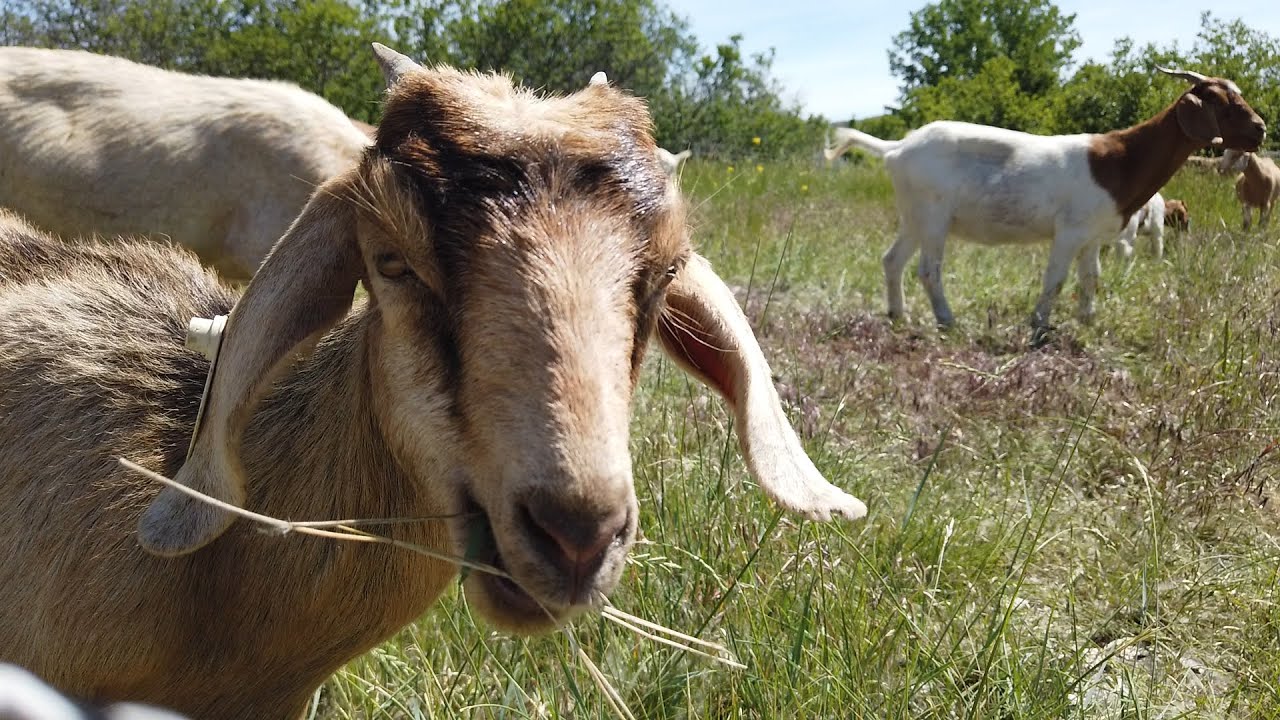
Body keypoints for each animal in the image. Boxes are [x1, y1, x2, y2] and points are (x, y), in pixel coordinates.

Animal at [824, 67, 1264, 331]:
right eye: (1226, 106)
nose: (1260, 129)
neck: (1121, 158)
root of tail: (897, 147)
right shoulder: (1069, 231)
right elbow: (1056, 279)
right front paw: (1038, 324)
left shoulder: (1093, 235)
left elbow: (1091, 277)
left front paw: (1088, 319)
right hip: (933, 215)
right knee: (928, 270)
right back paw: (947, 321)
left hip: (914, 215)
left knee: (892, 260)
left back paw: (897, 315)